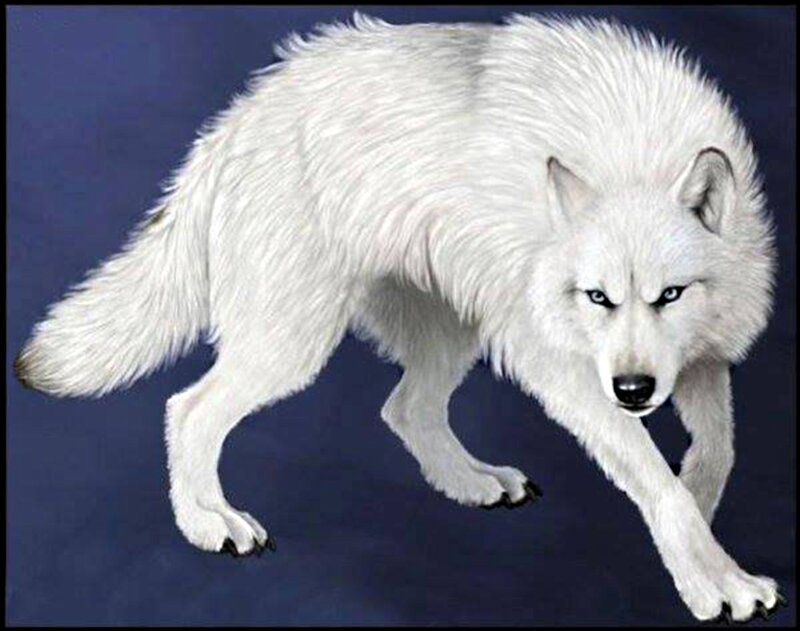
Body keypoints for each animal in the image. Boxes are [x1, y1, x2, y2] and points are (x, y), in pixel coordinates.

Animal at [15, 12, 783, 622]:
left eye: (670, 295)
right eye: (598, 298)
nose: (632, 390)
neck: (633, 157)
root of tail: (238, 117)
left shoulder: (703, 359)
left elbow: (715, 455)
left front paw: (702, 521)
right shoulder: (566, 369)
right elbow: (659, 482)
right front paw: (716, 581)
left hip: (454, 330)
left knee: (404, 407)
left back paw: (473, 482)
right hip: (294, 341)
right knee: (189, 407)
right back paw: (210, 523)